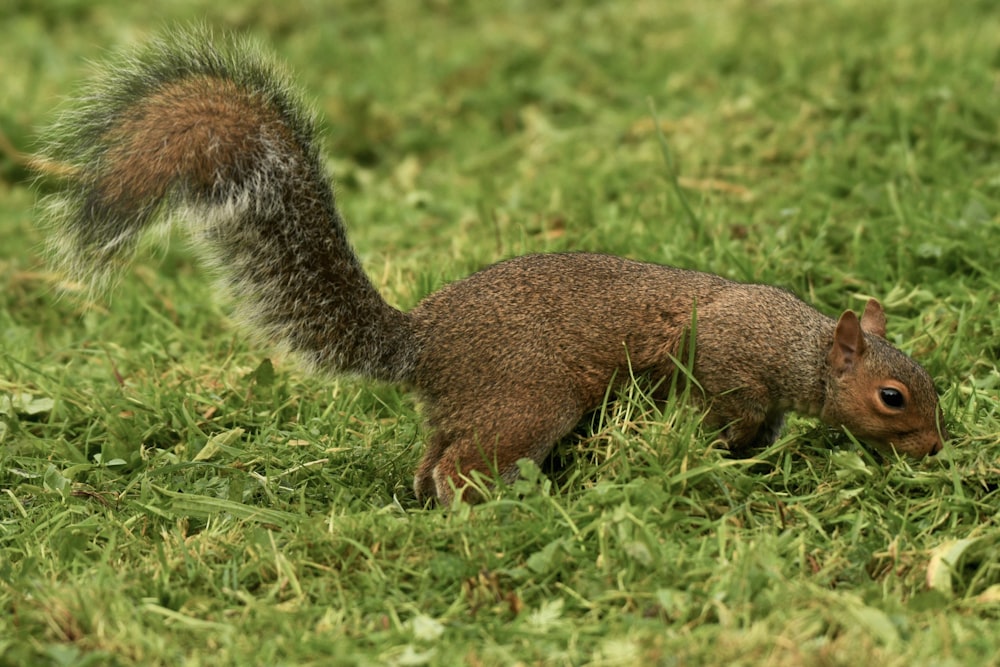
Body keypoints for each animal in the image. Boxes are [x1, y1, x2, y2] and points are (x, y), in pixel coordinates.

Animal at [39, 28, 944, 504]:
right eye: (892, 396)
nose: (936, 448)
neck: (797, 346)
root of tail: (421, 341)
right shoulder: (727, 369)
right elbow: (719, 422)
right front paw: (719, 462)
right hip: (527, 399)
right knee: (459, 464)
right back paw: (500, 506)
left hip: (475, 407)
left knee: (431, 459)